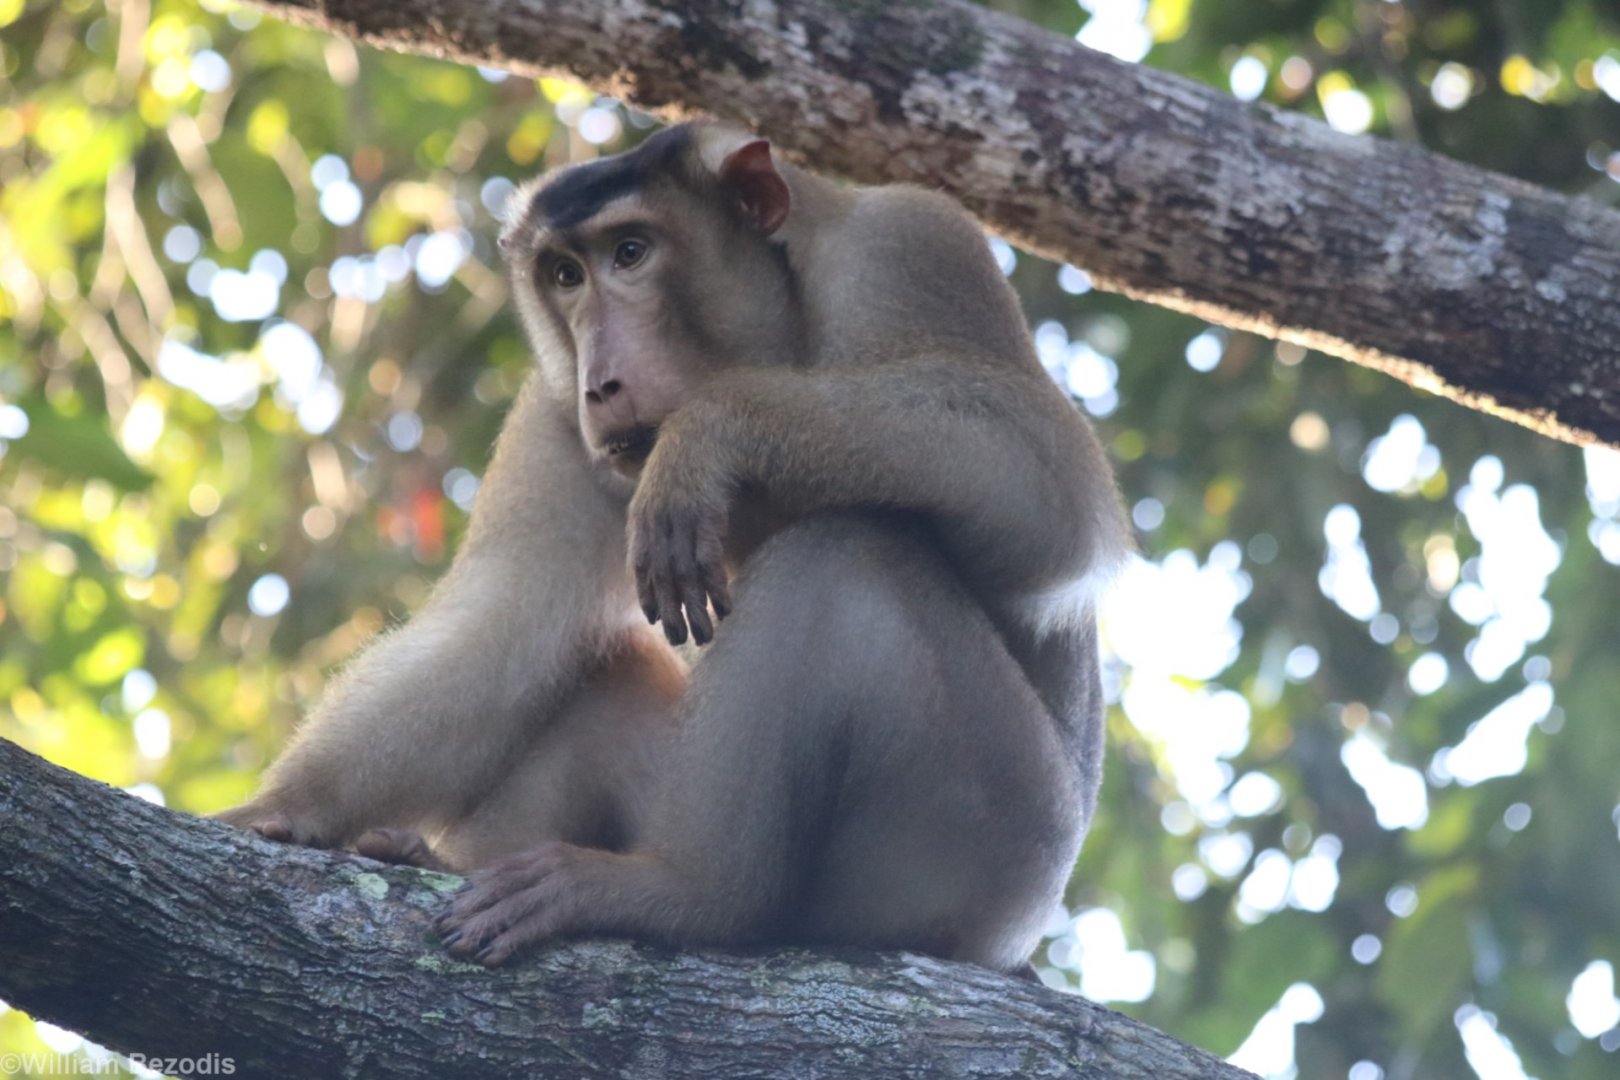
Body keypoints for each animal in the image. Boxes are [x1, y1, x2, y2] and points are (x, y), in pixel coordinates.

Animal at [218, 121, 1129, 974]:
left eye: (630, 252)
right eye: (564, 275)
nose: (603, 381)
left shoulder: (912, 242)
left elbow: (1053, 490)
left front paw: (713, 433)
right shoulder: (556, 413)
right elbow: (503, 626)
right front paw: (287, 808)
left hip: (987, 843)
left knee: (844, 551)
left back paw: (693, 893)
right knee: (603, 669)